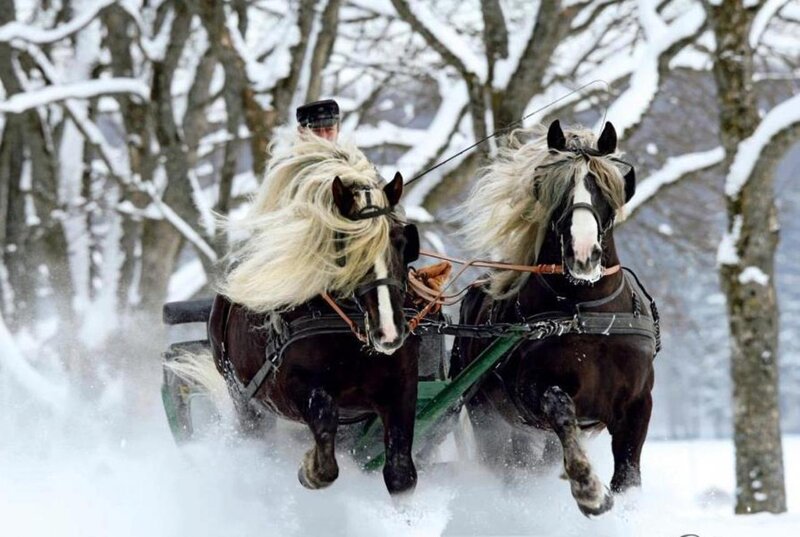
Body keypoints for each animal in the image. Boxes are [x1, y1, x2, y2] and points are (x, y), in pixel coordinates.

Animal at [172, 134, 422, 495]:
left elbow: (401, 474)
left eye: (402, 241)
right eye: (346, 247)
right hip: (244, 399)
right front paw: (311, 469)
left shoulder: (401, 386)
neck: (352, 334)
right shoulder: (293, 388)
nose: (389, 334)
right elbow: (325, 431)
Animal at [452, 120, 658, 516]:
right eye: (556, 189)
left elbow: (628, 477)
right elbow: (560, 406)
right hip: (489, 419)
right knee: (508, 468)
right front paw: (588, 487)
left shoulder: (638, 404)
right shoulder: (532, 395)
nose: (584, 254)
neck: (590, 314)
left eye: (603, 189)